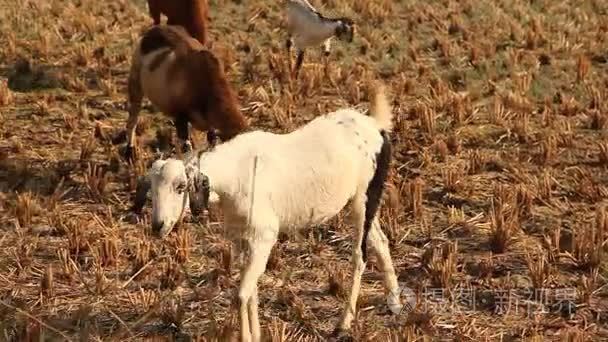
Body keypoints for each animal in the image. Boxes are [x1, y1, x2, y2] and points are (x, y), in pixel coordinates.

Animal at [131, 83, 402, 342]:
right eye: (151, 189)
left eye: (181, 187)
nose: (158, 225)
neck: (235, 173)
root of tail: (377, 126)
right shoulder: (243, 239)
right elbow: (250, 290)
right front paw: (257, 334)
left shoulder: (264, 236)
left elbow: (241, 295)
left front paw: (246, 337)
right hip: (364, 202)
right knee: (380, 240)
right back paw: (394, 302)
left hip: (363, 197)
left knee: (360, 255)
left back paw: (343, 324)